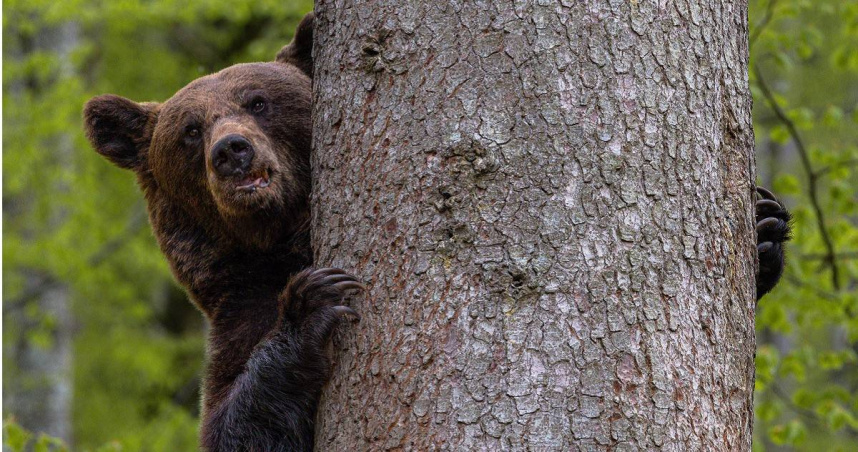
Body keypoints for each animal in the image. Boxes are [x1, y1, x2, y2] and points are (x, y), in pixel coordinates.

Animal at [83, 11, 791, 452]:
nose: (231, 151)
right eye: (189, 129)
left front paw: (764, 228)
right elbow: (237, 423)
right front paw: (313, 304)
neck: (281, 241)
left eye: (258, 100)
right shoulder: (238, 315)